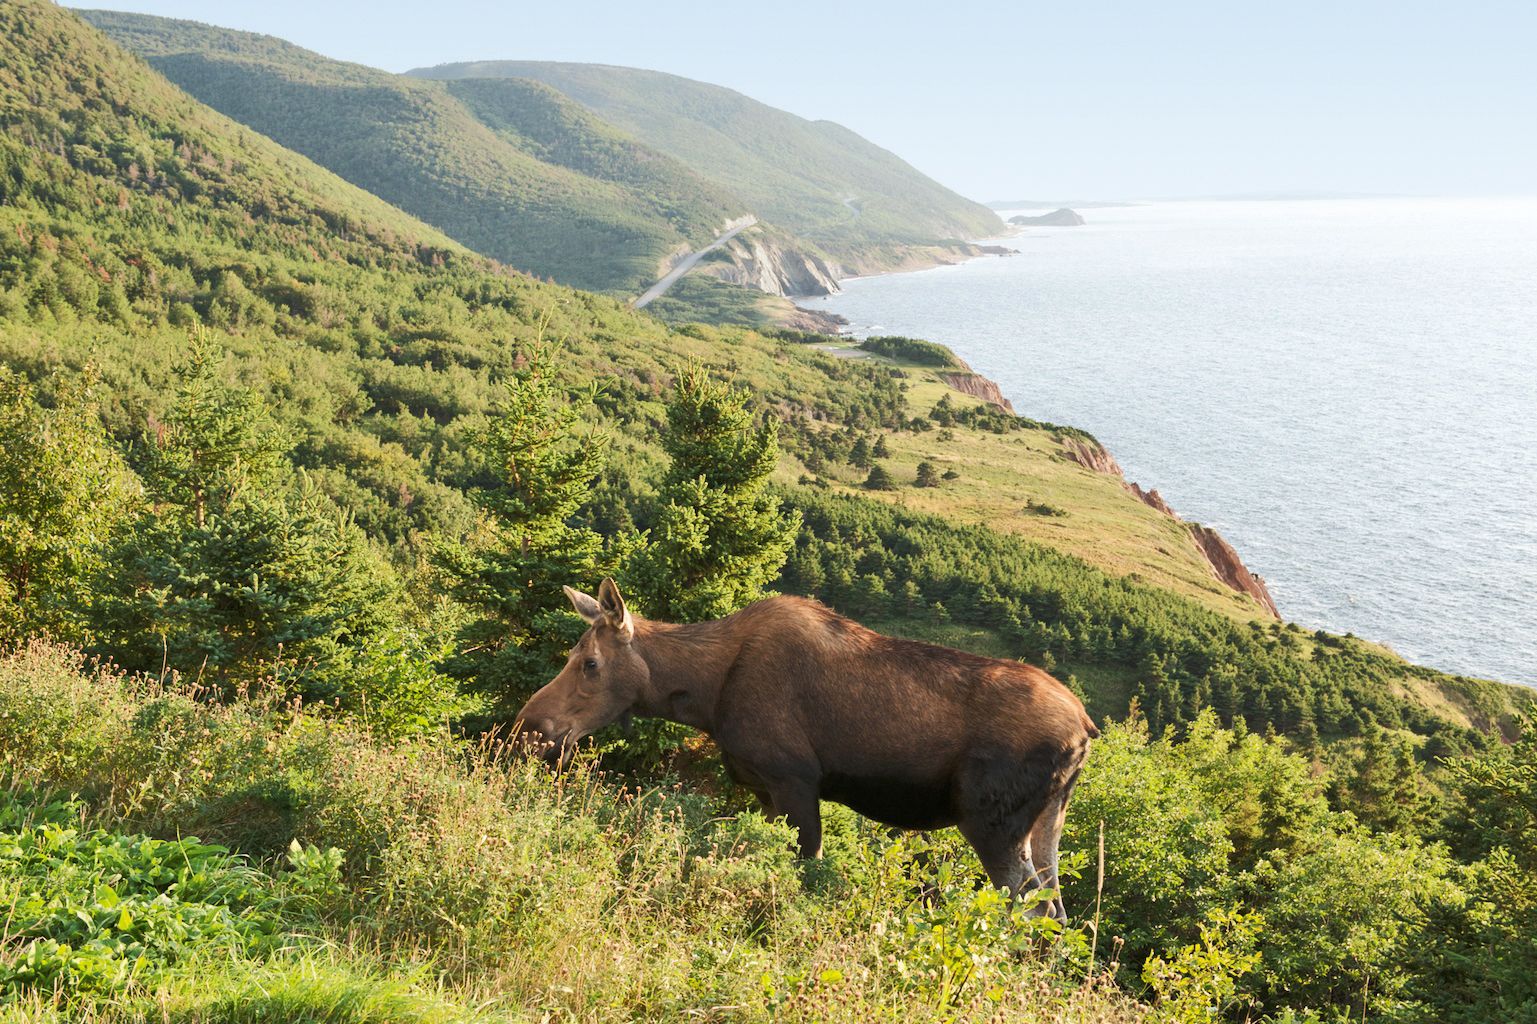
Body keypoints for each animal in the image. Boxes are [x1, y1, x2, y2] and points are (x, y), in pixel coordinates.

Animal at [522, 575, 1100, 916]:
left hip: (991, 821)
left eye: (589, 662)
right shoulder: (763, 789)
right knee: (1057, 908)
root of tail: (1086, 729)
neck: (705, 695)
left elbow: (809, 871)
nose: (531, 724)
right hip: (1046, 820)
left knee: (1031, 909)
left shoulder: (794, 780)